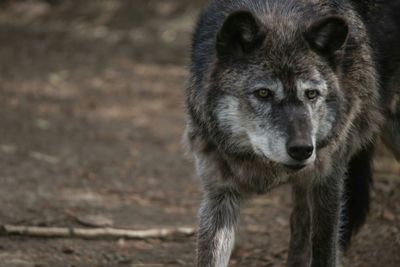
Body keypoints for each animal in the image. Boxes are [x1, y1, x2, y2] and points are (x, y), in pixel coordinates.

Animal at [185, 0, 400, 267]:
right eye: (263, 93)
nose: (302, 149)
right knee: (299, 222)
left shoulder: (329, 179)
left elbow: (324, 251)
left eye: (311, 94)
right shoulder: (219, 193)